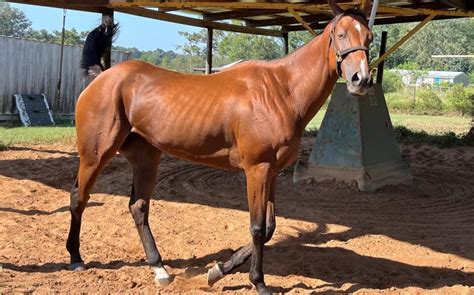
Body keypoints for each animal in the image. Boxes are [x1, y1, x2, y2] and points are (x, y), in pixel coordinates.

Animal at [67, 0, 374, 294]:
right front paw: (259, 283)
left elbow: (270, 228)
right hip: (95, 154)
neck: (281, 91)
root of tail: (102, 77)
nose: (361, 80)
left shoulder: (272, 172)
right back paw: (76, 258)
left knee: (138, 207)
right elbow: (257, 227)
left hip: (146, 157)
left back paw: (160, 270)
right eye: (341, 34)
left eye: (369, 38)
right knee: (79, 197)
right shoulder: (257, 169)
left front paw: (217, 271)